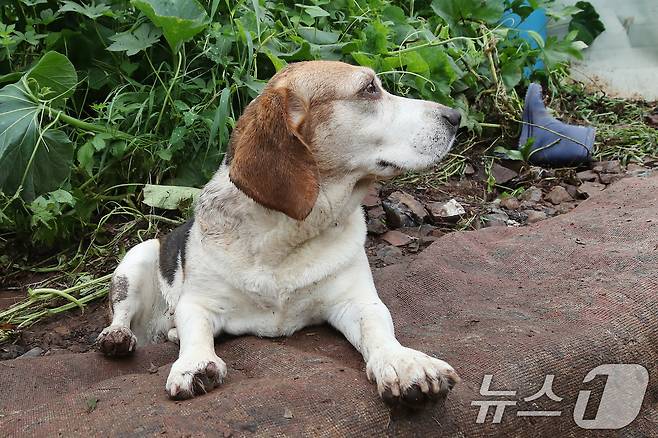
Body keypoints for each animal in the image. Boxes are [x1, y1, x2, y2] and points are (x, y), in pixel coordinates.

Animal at [97, 60, 458, 404]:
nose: (455, 116)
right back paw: (117, 337)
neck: (286, 235)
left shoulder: (357, 301)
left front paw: (402, 363)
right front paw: (194, 365)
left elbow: (377, 328)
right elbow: (195, 331)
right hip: (138, 258)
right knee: (121, 314)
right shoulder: (198, 303)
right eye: (369, 88)